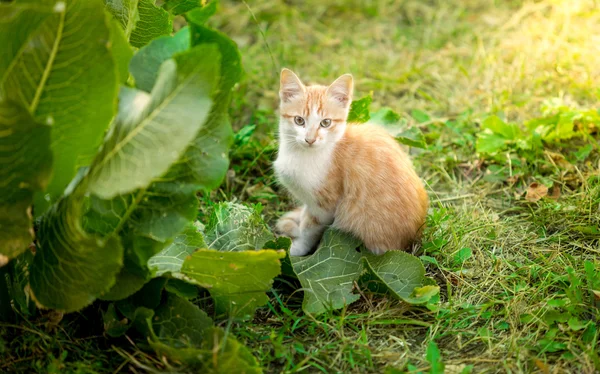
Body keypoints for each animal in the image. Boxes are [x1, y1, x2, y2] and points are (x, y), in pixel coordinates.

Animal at [274, 68, 428, 258]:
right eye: (299, 120)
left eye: (326, 123)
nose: (310, 139)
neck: (303, 154)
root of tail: (413, 238)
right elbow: (305, 215)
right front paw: (297, 221)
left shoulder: (326, 205)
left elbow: (309, 229)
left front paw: (295, 248)